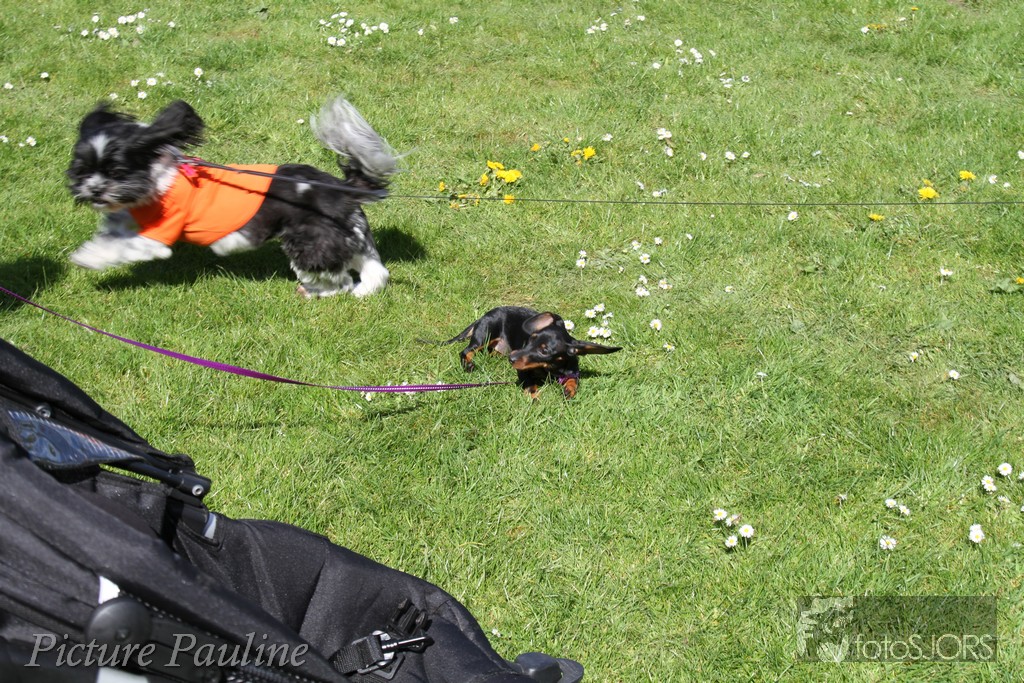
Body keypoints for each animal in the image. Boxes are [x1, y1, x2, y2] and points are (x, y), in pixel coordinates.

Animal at [66, 96, 398, 298]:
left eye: (116, 171)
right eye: (82, 169)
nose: (94, 190)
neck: (159, 177)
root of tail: (341, 189)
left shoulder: (158, 234)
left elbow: (122, 246)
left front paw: (88, 257)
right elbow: (120, 225)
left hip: (311, 242)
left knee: (339, 279)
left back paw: (317, 291)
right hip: (347, 235)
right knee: (374, 270)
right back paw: (364, 289)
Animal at [441, 306, 622, 399]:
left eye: (544, 351)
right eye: (531, 339)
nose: (512, 359)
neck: (550, 369)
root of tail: (483, 316)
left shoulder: (571, 369)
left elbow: (573, 379)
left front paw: (569, 390)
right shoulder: (522, 372)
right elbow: (530, 385)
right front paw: (536, 399)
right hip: (484, 336)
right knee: (466, 351)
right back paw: (469, 365)